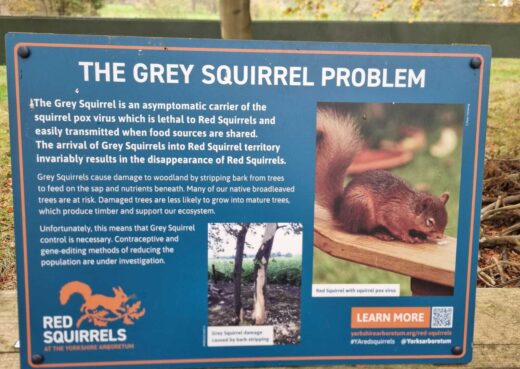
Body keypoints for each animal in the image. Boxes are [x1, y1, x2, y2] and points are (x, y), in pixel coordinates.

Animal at [314, 108, 448, 243]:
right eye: (430, 222)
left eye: (446, 217)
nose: (439, 236)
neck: (409, 208)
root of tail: (341, 214)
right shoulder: (392, 215)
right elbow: (397, 229)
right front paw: (409, 237)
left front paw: (421, 235)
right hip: (362, 207)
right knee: (365, 230)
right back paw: (381, 233)